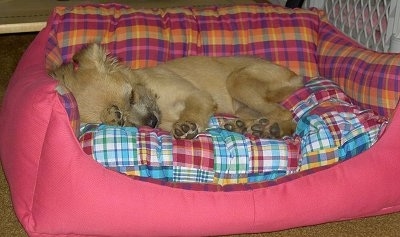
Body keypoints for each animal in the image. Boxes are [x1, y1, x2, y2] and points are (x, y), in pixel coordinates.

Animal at [52, 44, 304, 139]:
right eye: (123, 121)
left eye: (131, 96)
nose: (152, 122)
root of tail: (297, 76)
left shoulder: (198, 96)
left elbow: (193, 112)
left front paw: (187, 125)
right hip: (241, 107)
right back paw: (255, 128)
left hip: (238, 81)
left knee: (285, 115)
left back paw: (270, 129)